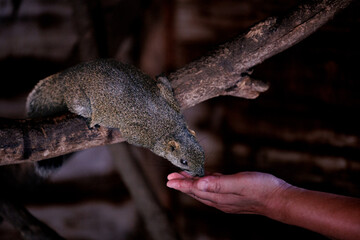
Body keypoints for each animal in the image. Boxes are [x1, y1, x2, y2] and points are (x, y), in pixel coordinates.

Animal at [26, 58, 205, 176]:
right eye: (183, 161)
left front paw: (163, 79)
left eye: (203, 153)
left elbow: (163, 87)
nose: (201, 174)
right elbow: (129, 133)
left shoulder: (172, 104)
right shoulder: (139, 134)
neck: (172, 128)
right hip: (78, 97)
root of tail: (69, 75)